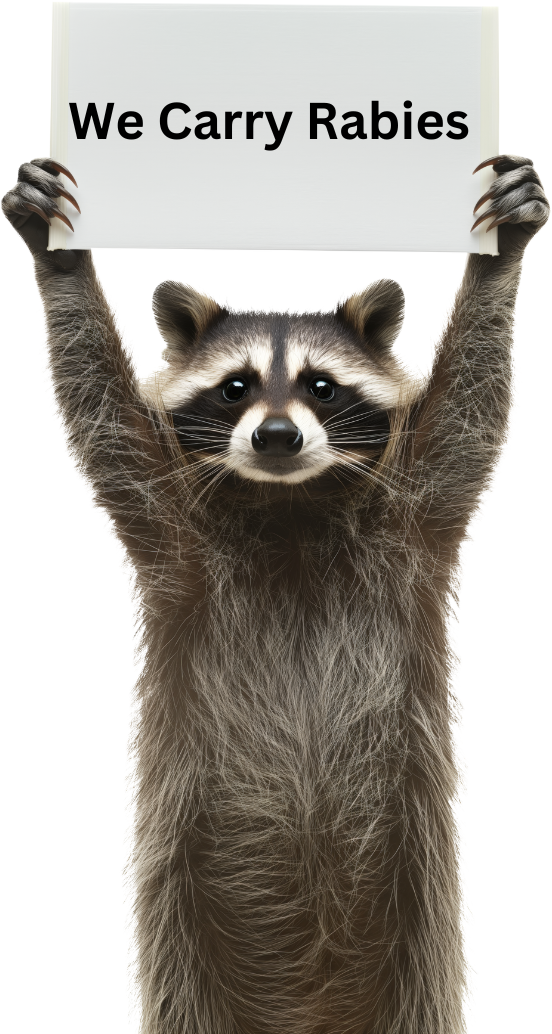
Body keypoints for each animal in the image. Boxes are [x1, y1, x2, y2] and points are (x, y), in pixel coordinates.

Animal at [1, 153, 549, 1034]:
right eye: (236, 388)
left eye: (322, 387)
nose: (278, 436)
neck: (290, 507)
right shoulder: (173, 535)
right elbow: (104, 424)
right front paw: (61, 261)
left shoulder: (413, 525)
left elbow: (468, 417)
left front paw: (497, 258)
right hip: (178, 900)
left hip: (420, 901)